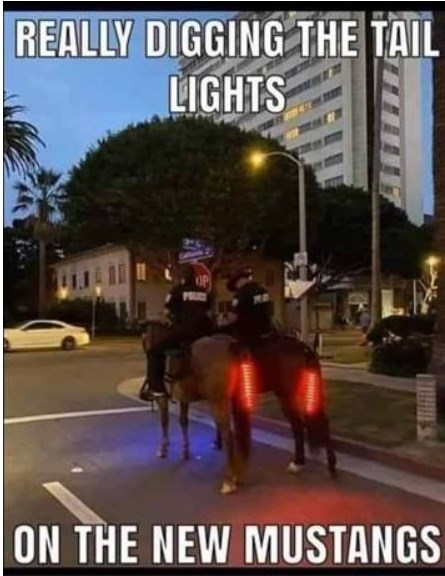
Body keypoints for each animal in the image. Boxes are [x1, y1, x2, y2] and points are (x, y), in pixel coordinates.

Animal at [143, 322, 337, 495]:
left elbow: (167, 421)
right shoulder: (187, 400)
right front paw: (185, 451)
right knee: (302, 424)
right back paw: (302, 463)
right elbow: (183, 422)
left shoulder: (189, 400)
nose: (150, 388)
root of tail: (304, 348)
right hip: (292, 393)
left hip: (281, 395)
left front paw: (165, 449)